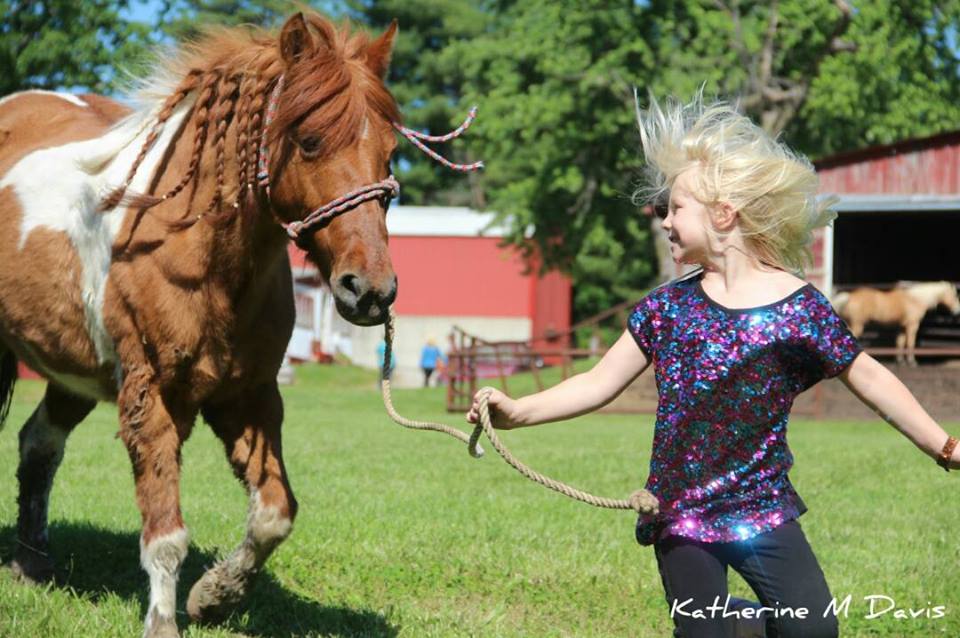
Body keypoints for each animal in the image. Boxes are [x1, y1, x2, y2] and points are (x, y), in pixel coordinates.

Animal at [0, 13, 403, 638]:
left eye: (390, 152)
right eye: (309, 141)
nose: (371, 291)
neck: (192, 247)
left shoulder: (250, 396)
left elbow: (274, 514)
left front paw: (216, 595)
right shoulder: (152, 398)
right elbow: (166, 536)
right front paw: (165, 620)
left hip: (75, 370)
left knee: (38, 443)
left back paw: (32, 562)